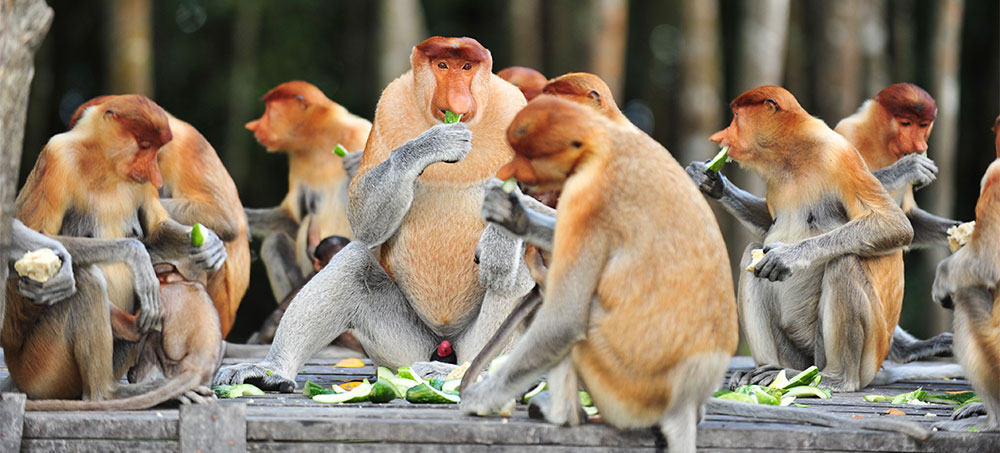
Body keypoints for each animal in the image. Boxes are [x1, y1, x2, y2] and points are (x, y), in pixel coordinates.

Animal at [3, 94, 226, 405]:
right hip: (41, 369)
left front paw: (212, 246)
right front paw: (136, 254)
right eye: (144, 145)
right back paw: (108, 393)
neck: (104, 164)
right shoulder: (57, 157)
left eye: (156, 149)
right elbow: (32, 234)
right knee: (86, 278)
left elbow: (155, 229)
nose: (154, 174)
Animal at [243, 81, 372, 303]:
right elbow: (292, 220)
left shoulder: (359, 131)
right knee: (274, 242)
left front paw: (355, 163)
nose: (253, 125)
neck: (319, 139)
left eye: (269, 110)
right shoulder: (297, 160)